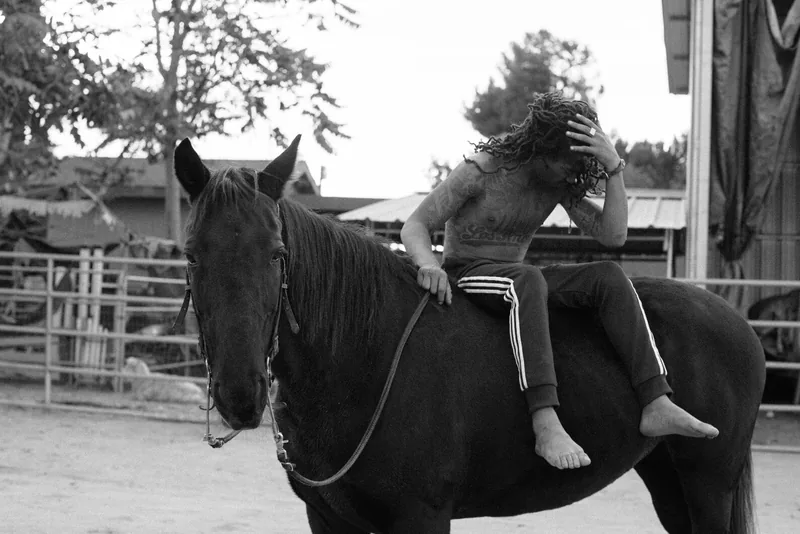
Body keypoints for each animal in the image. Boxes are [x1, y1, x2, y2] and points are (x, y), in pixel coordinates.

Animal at [174, 136, 766, 534]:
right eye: (192, 255)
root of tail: (739, 324)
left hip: (709, 483)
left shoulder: (422, 516)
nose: (239, 394)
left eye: (277, 255)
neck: (362, 357)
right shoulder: (327, 518)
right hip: (669, 480)